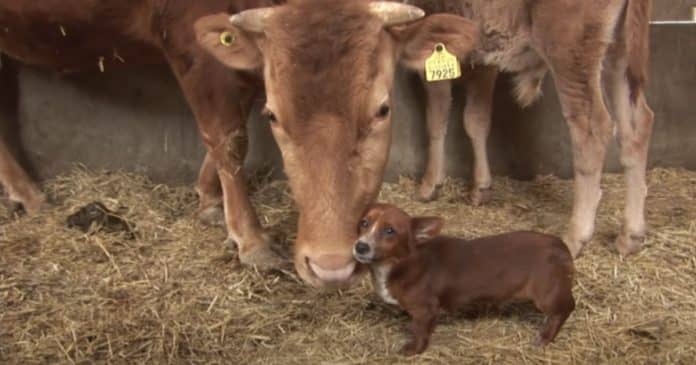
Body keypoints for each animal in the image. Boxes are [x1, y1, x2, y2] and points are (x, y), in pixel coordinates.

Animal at [0, 0, 478, 288]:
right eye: (275, 116)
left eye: (382, 110)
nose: (331, 266)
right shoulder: (191, 41)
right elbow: (228, 135)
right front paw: (250, 238)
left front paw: (209, 199)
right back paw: (30, 195)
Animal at [354, 205, 576, 356]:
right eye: (364, 223)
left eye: (389, 230)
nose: (360, 247)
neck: (401, 262)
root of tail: (561, 246)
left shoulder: (426, 310)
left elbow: (420, 331)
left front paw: (413, 349)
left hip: (546, 294)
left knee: (566, 308)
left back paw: (545, 337)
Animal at [406, 0, 656, 258]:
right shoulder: (484, 53)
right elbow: (476, 119)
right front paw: (480, 187)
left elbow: (436, 116)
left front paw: (429, 184)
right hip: (619, 53)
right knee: (637, 125)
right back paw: (630, 235)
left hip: (570, 54)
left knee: (592, 130)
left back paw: (575, 236)